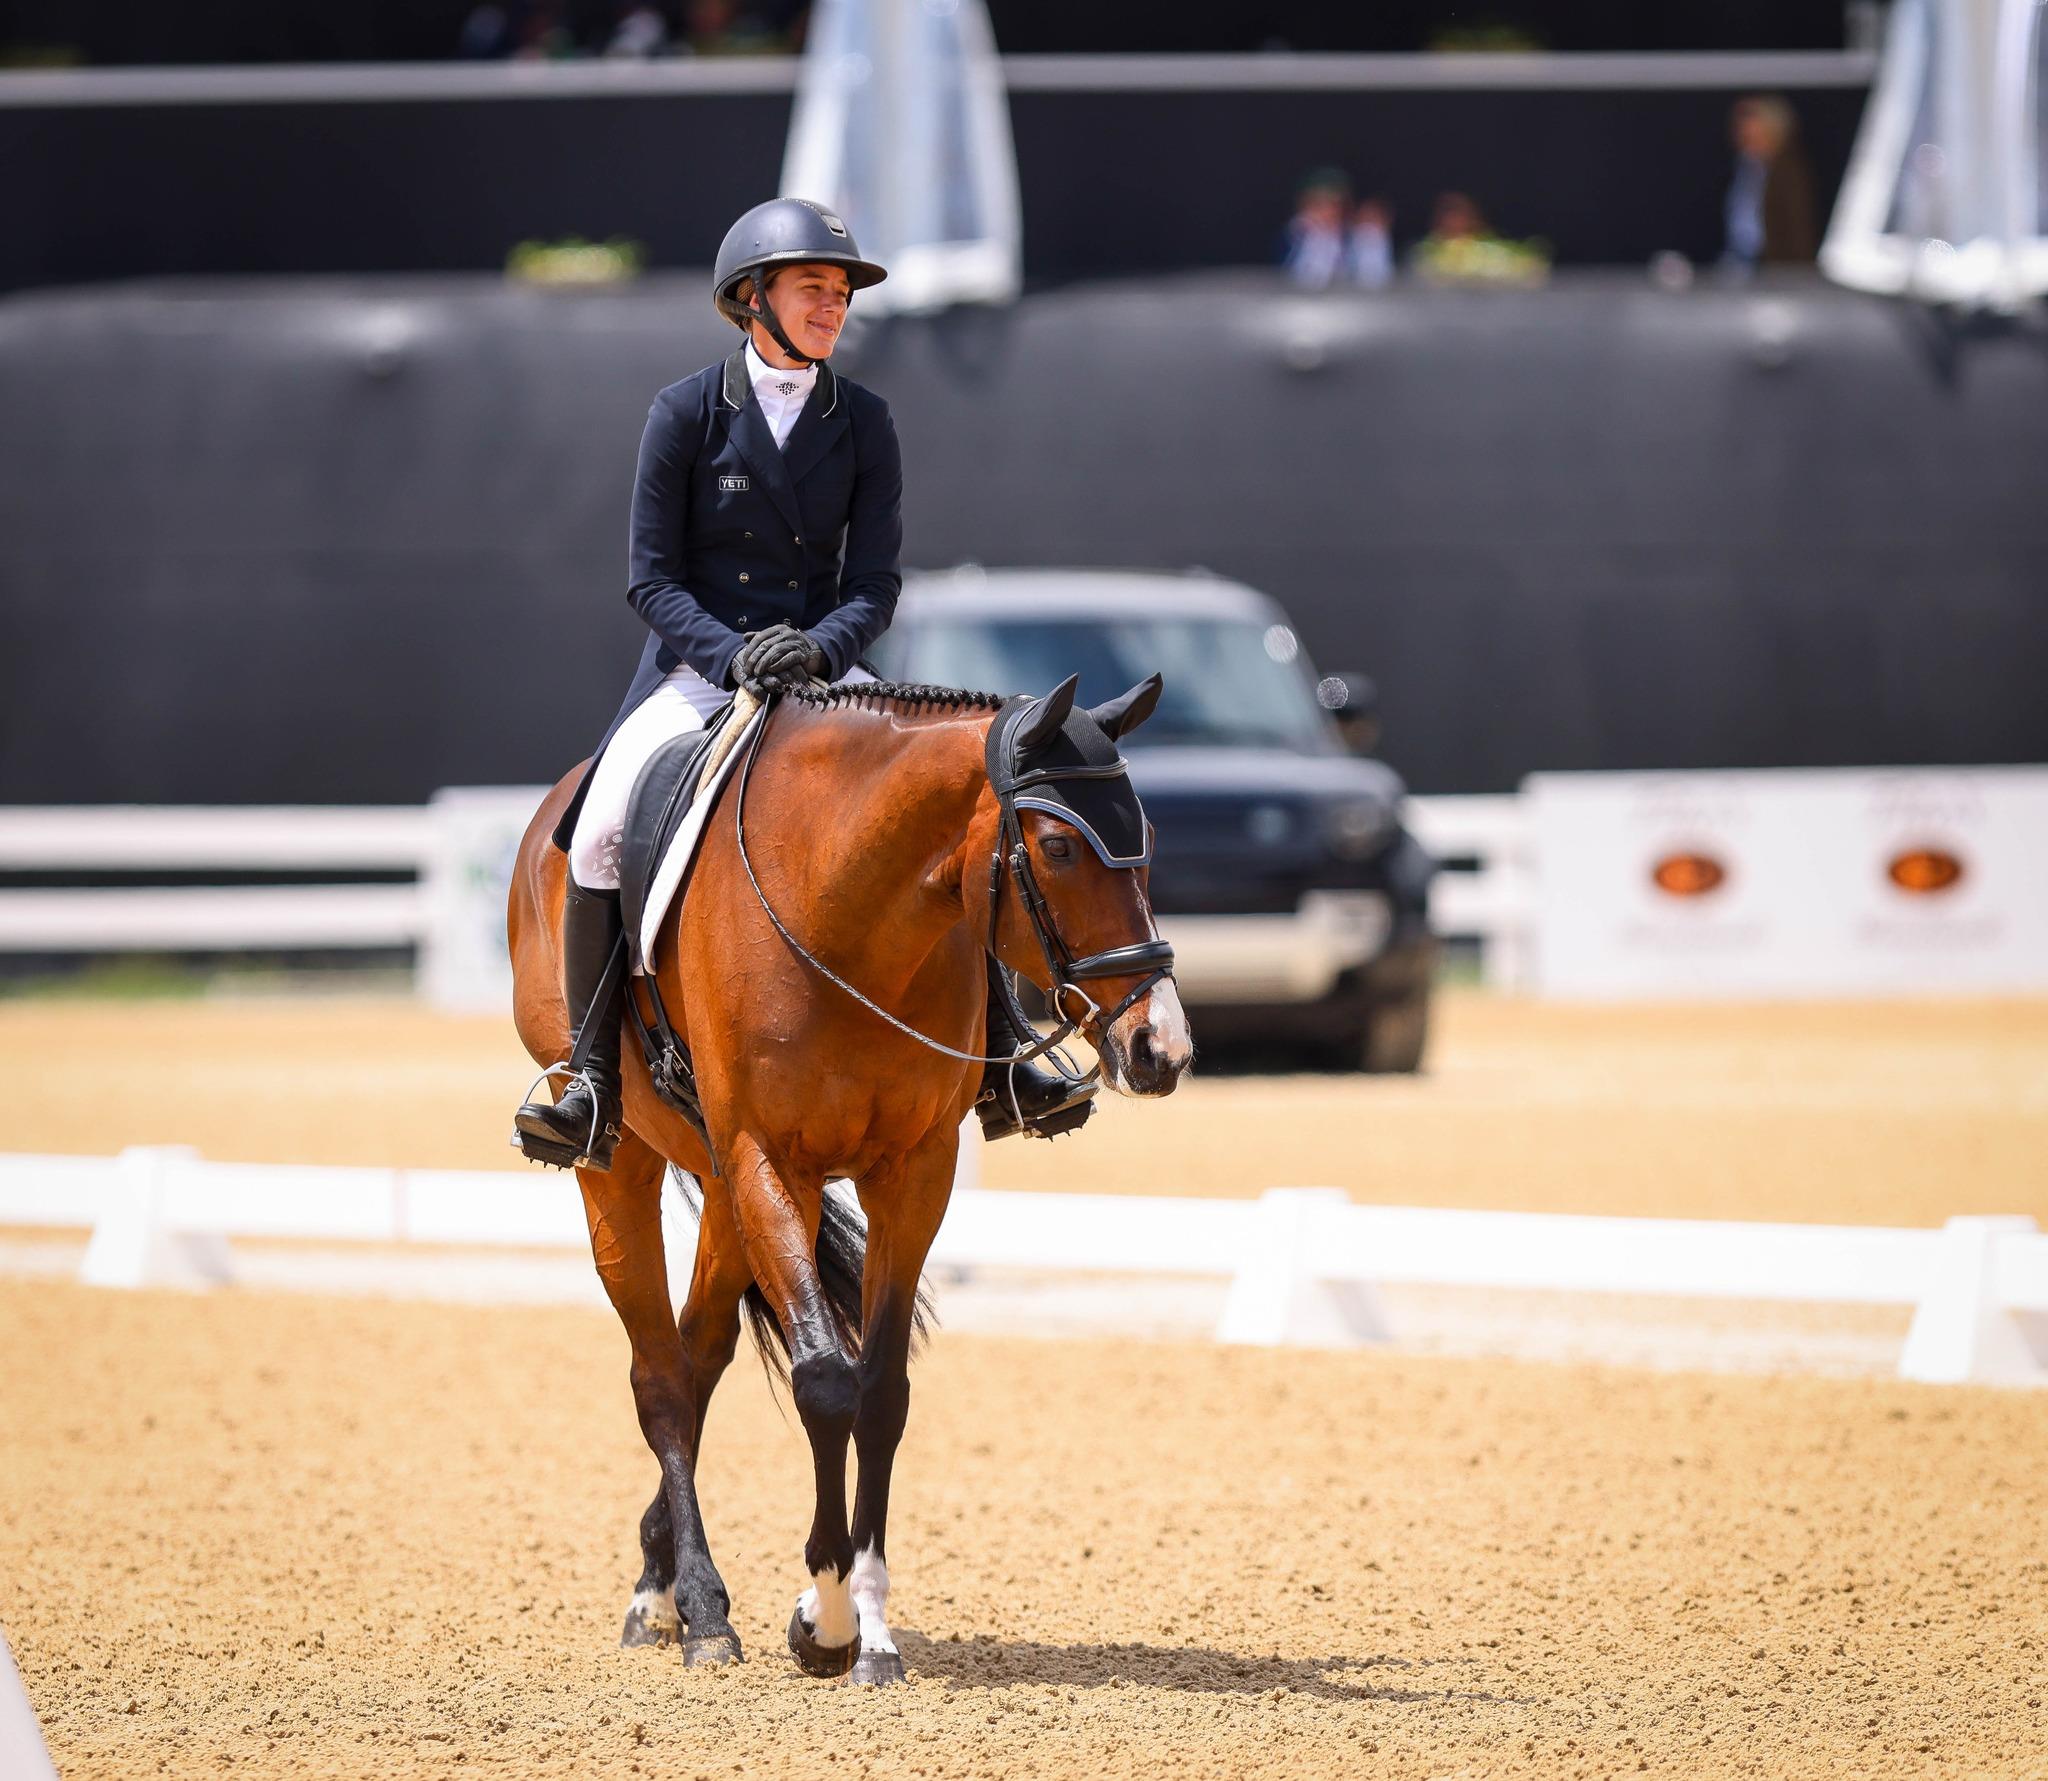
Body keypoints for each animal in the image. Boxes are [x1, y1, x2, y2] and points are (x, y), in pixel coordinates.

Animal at [501, 675, 1196, 1695]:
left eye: (1143, 837)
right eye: (1061, 846)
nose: (1160, 1049)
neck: (853, 912)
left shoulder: (913, 1169)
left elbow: (881, 1390)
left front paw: (868, 1626)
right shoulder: (767, 1157)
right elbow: (826, 1381)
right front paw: (822, 1622)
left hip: (720, 1183)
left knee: (698, 1358)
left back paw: (664, 1584)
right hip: (628, 1160)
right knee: (660, 1374)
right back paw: (697, 1609)